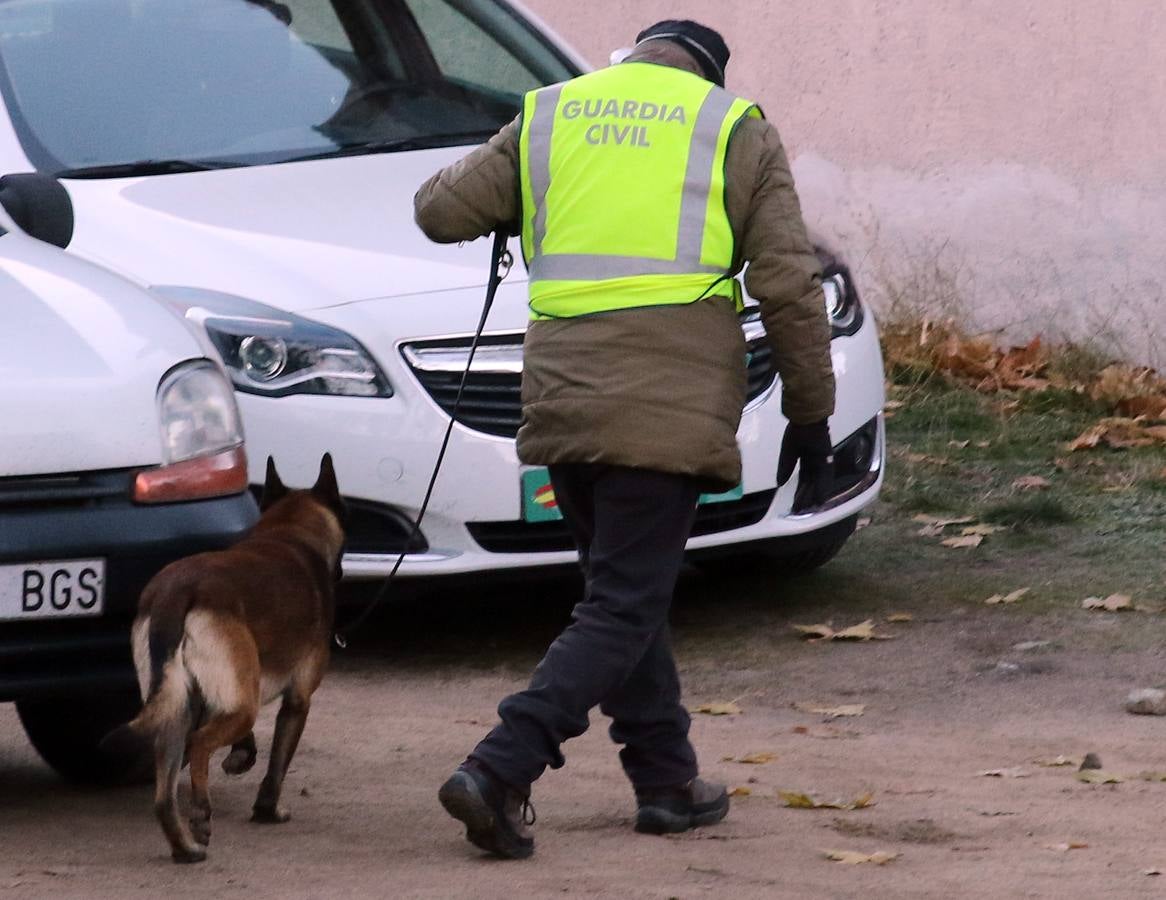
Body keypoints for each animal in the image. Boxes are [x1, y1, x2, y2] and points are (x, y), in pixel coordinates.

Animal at [106, 454, 345, 862]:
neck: (290, 533)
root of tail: (178, 589)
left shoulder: (222, 689)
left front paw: (241, 756)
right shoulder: (296, 701)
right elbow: (278, 763)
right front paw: (267, 809)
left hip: (177, 705)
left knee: (165, 793)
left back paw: (185, 847)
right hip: (237, 704)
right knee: (200, 743)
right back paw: (201, 815)